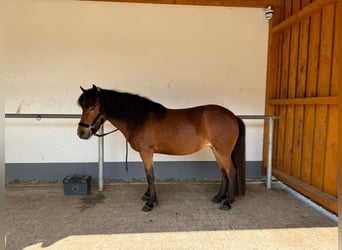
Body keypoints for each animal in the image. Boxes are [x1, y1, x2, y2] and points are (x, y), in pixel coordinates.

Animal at [77, 85, 246, 212]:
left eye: (92, 107)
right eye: (83, 107)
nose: (81, 133)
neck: (139, 118)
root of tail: (233, 116)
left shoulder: (146, 152)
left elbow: (150, 175)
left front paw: (150, 202)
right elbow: (149, 175)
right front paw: (147, 195)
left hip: (223, 152)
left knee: (231, 172)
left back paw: (227, 202)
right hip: (216, 151)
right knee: (224, 173)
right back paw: (219, 197)